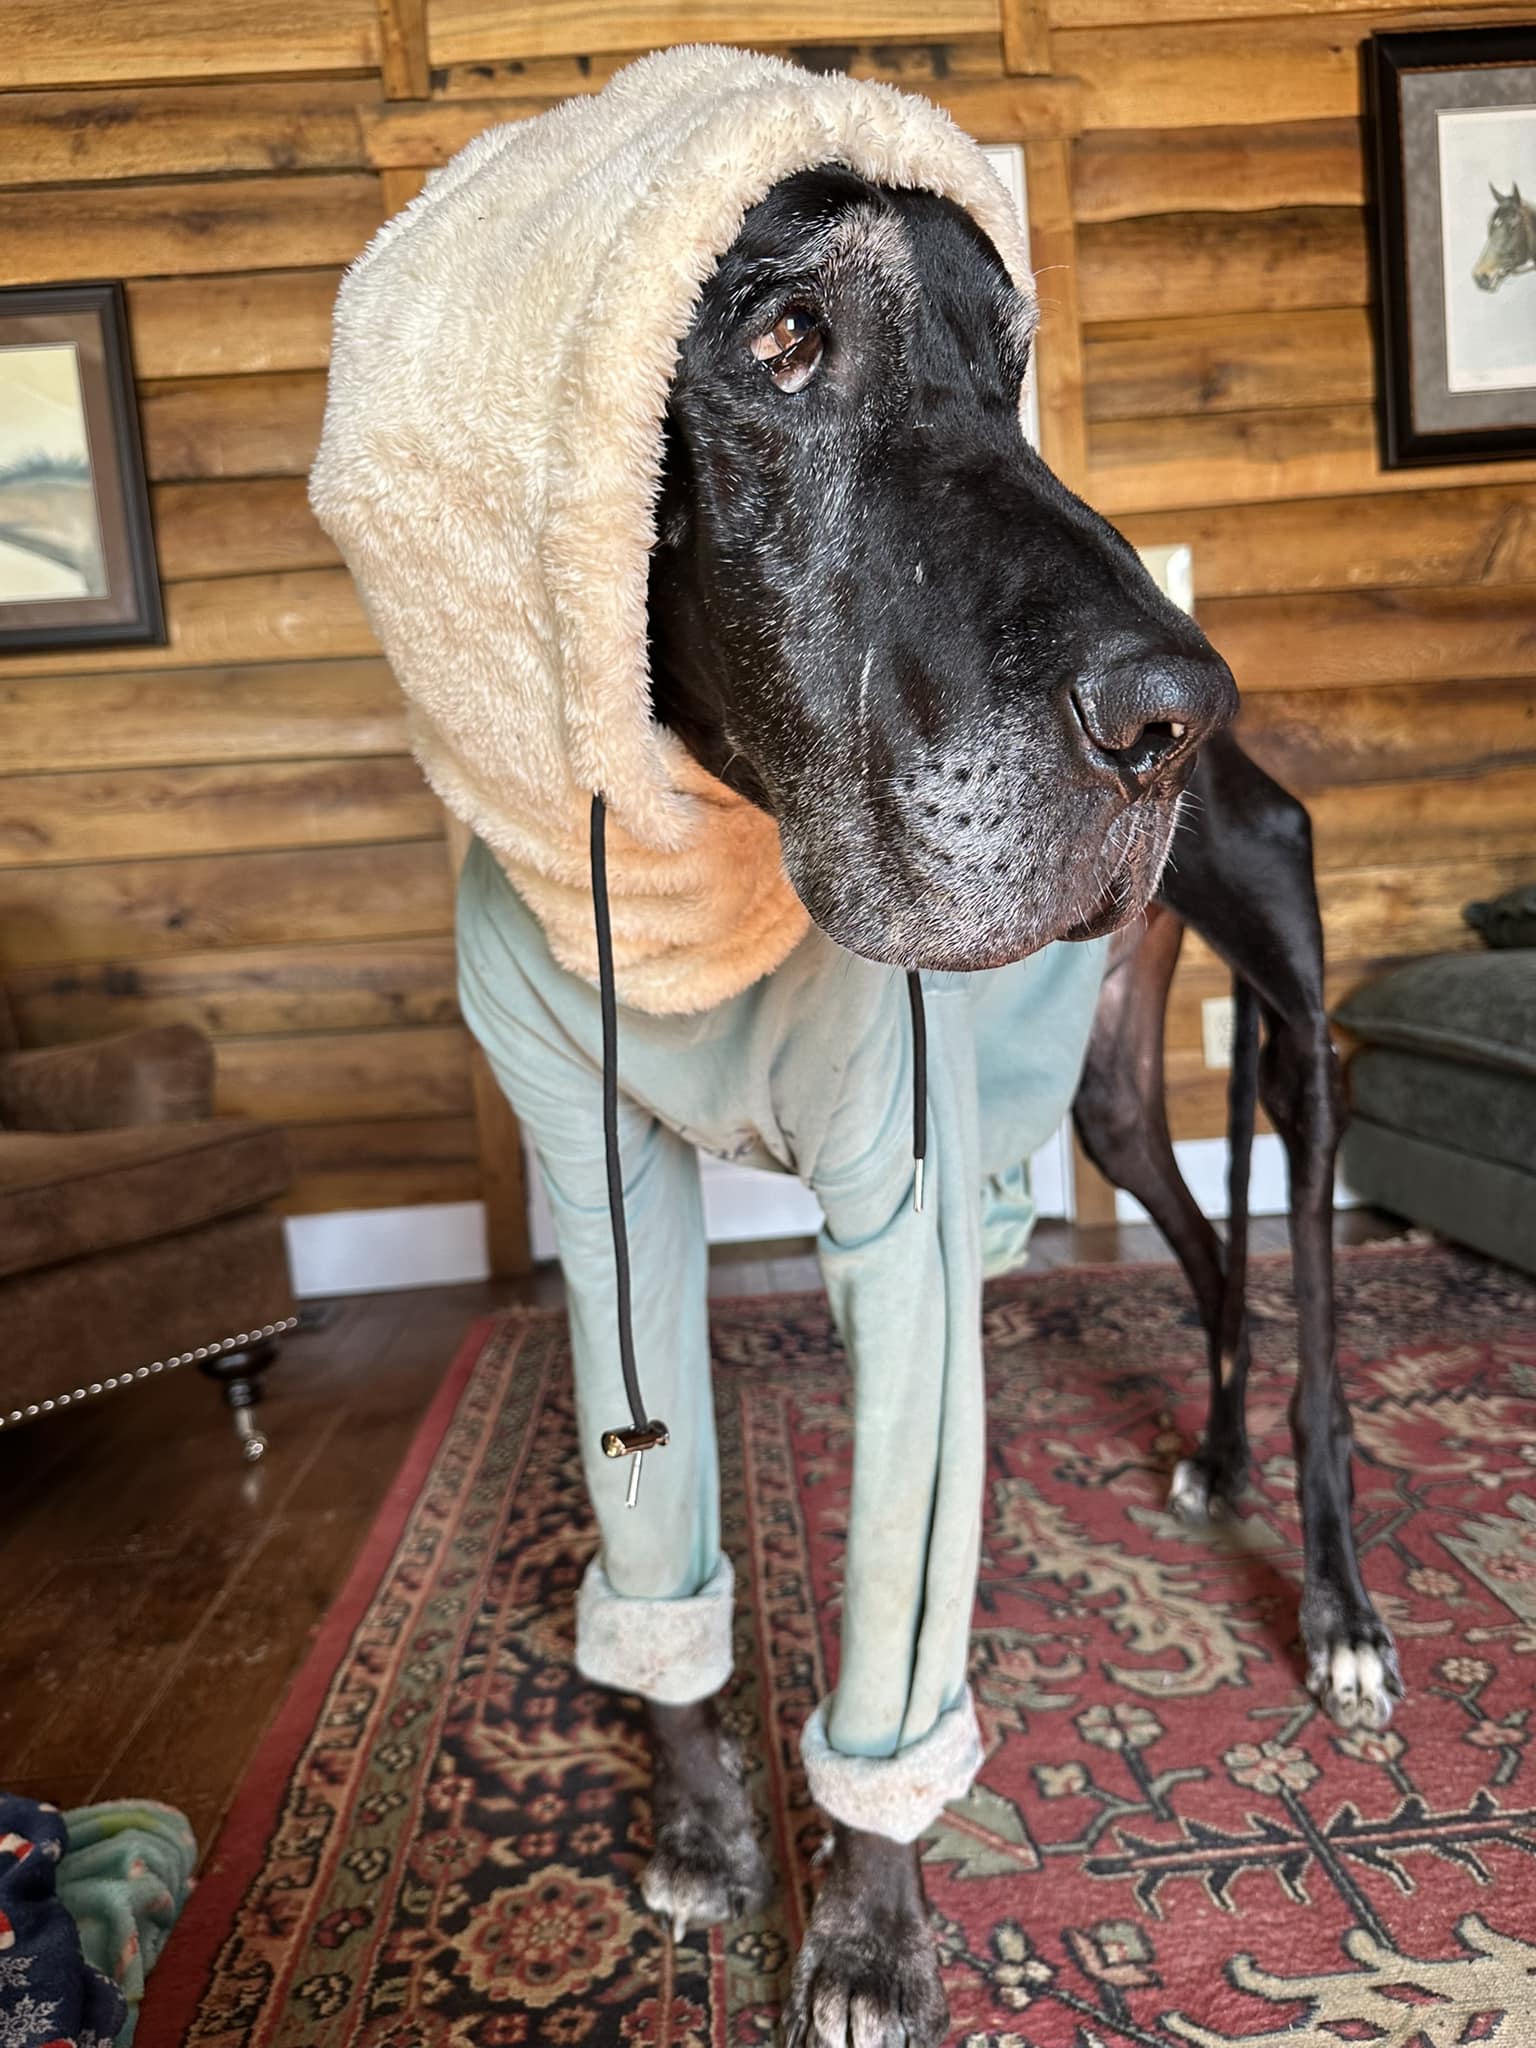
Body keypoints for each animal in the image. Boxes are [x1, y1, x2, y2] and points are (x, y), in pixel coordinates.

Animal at [643, 163, 1400, 2048]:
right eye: (780, 338)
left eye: (1014, 374)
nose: (1170, 712)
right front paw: (698, 1830)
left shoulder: (902, 1220)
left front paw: (866, 1939)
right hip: (1119, 1101)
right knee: (1211, 1264)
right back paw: (1209, 1453)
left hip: (1292, 1033)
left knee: (1309, 1311)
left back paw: (1337, 1598)